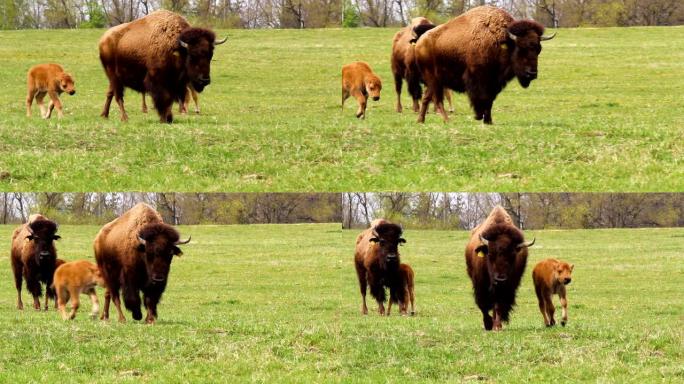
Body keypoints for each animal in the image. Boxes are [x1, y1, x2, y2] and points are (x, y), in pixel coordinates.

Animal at [97, 10, 226, 123]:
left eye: (210, 54)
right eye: (192, 55)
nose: (205, 80)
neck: (177, 49)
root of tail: (103, 39)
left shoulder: (175, 84)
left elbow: (171, 100)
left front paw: (168, 118)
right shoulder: (158, 81)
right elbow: (164, 98)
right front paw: (165, 118)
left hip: (114, 78)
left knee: (110, 93)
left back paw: (104, 115)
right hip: (113, 75)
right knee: (118, 96)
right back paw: (124, 118)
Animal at [412, 6, 556, 124]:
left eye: (538, 49)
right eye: (521, 48)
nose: (531, 73)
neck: (502, 42)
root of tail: (420, 42)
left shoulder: (494, 82)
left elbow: (490, 101)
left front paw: (488, 121)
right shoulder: (479, 79)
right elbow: (482, 98)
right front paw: (479, 117)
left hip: (435, 81)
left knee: (427, 97)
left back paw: (421, 120)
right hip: (433, 79)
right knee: (437, 99)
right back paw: (446, 120)